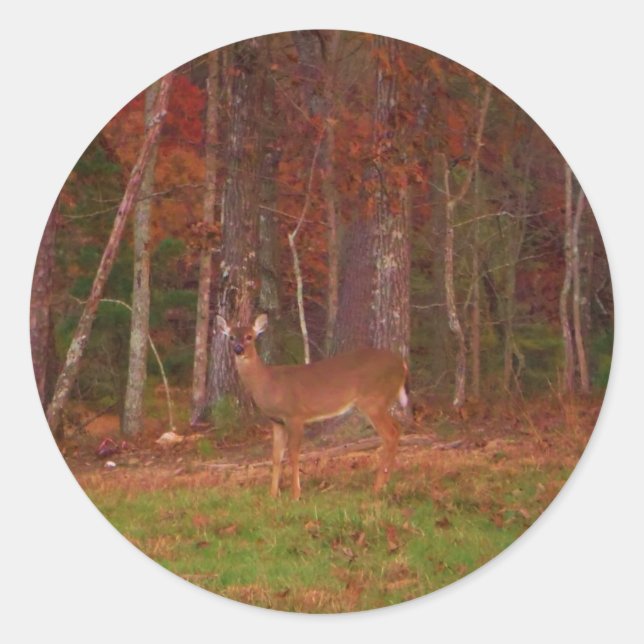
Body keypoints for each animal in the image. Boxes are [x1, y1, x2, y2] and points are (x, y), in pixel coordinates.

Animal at [216, 313, 409, 499]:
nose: (238, 349)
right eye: (231, 337)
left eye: (250, 336)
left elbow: (294, 454)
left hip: (372, 400)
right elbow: (276, 457)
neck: (268, 383)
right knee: (397, 428)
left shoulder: (295, 415)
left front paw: (295, 494)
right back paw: (385, 482)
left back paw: (377, 487)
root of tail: (403, 364)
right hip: (380, 402)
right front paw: (272, 495)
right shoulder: (277, 421)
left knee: (390, 434)